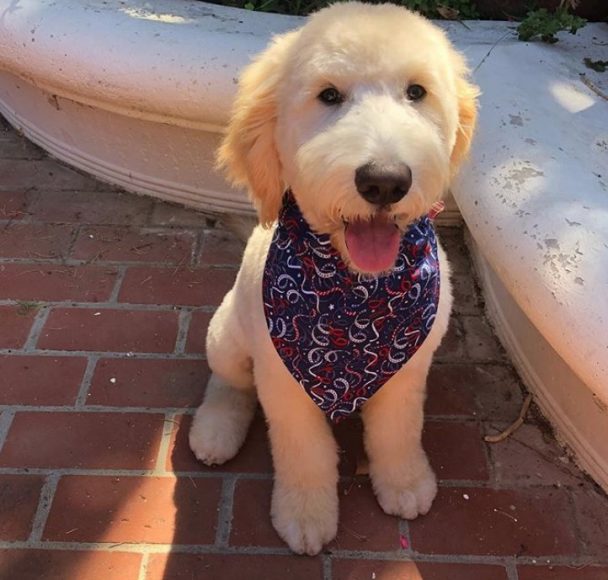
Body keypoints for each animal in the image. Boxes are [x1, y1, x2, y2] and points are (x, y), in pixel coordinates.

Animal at [190, 2, 480, 556]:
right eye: (329, 95)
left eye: (417, 92)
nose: (384, 181)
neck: (354, 297)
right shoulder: (282, 381)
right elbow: (303, 451)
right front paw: (304, 512)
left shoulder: (408, 370)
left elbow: (398, 431)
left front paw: (405, 482)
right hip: (228, 336)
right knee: (229, 382)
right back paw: (216, 428)